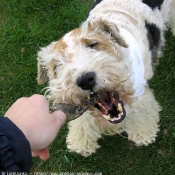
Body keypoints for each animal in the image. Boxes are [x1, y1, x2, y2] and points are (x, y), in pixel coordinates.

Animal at [36, 0, 174, 156]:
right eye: (56, 65)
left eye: (92, 44)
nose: (85, 80)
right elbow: (83, 119)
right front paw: (81, 143)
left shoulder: (139, 92)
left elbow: (142, 113)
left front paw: (143, 135)